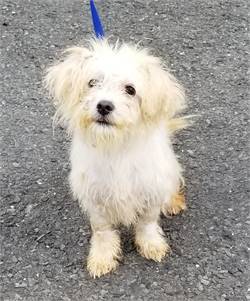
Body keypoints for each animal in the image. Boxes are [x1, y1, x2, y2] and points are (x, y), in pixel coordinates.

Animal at [44, 39, 188, 276]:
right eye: (92, 82)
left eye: (130, 89)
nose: (104, 105)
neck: (115, 146)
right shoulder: (95, 196)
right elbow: (102, 230)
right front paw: (102, 257)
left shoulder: (151, 188)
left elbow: (147, 223)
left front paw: (151, 244)